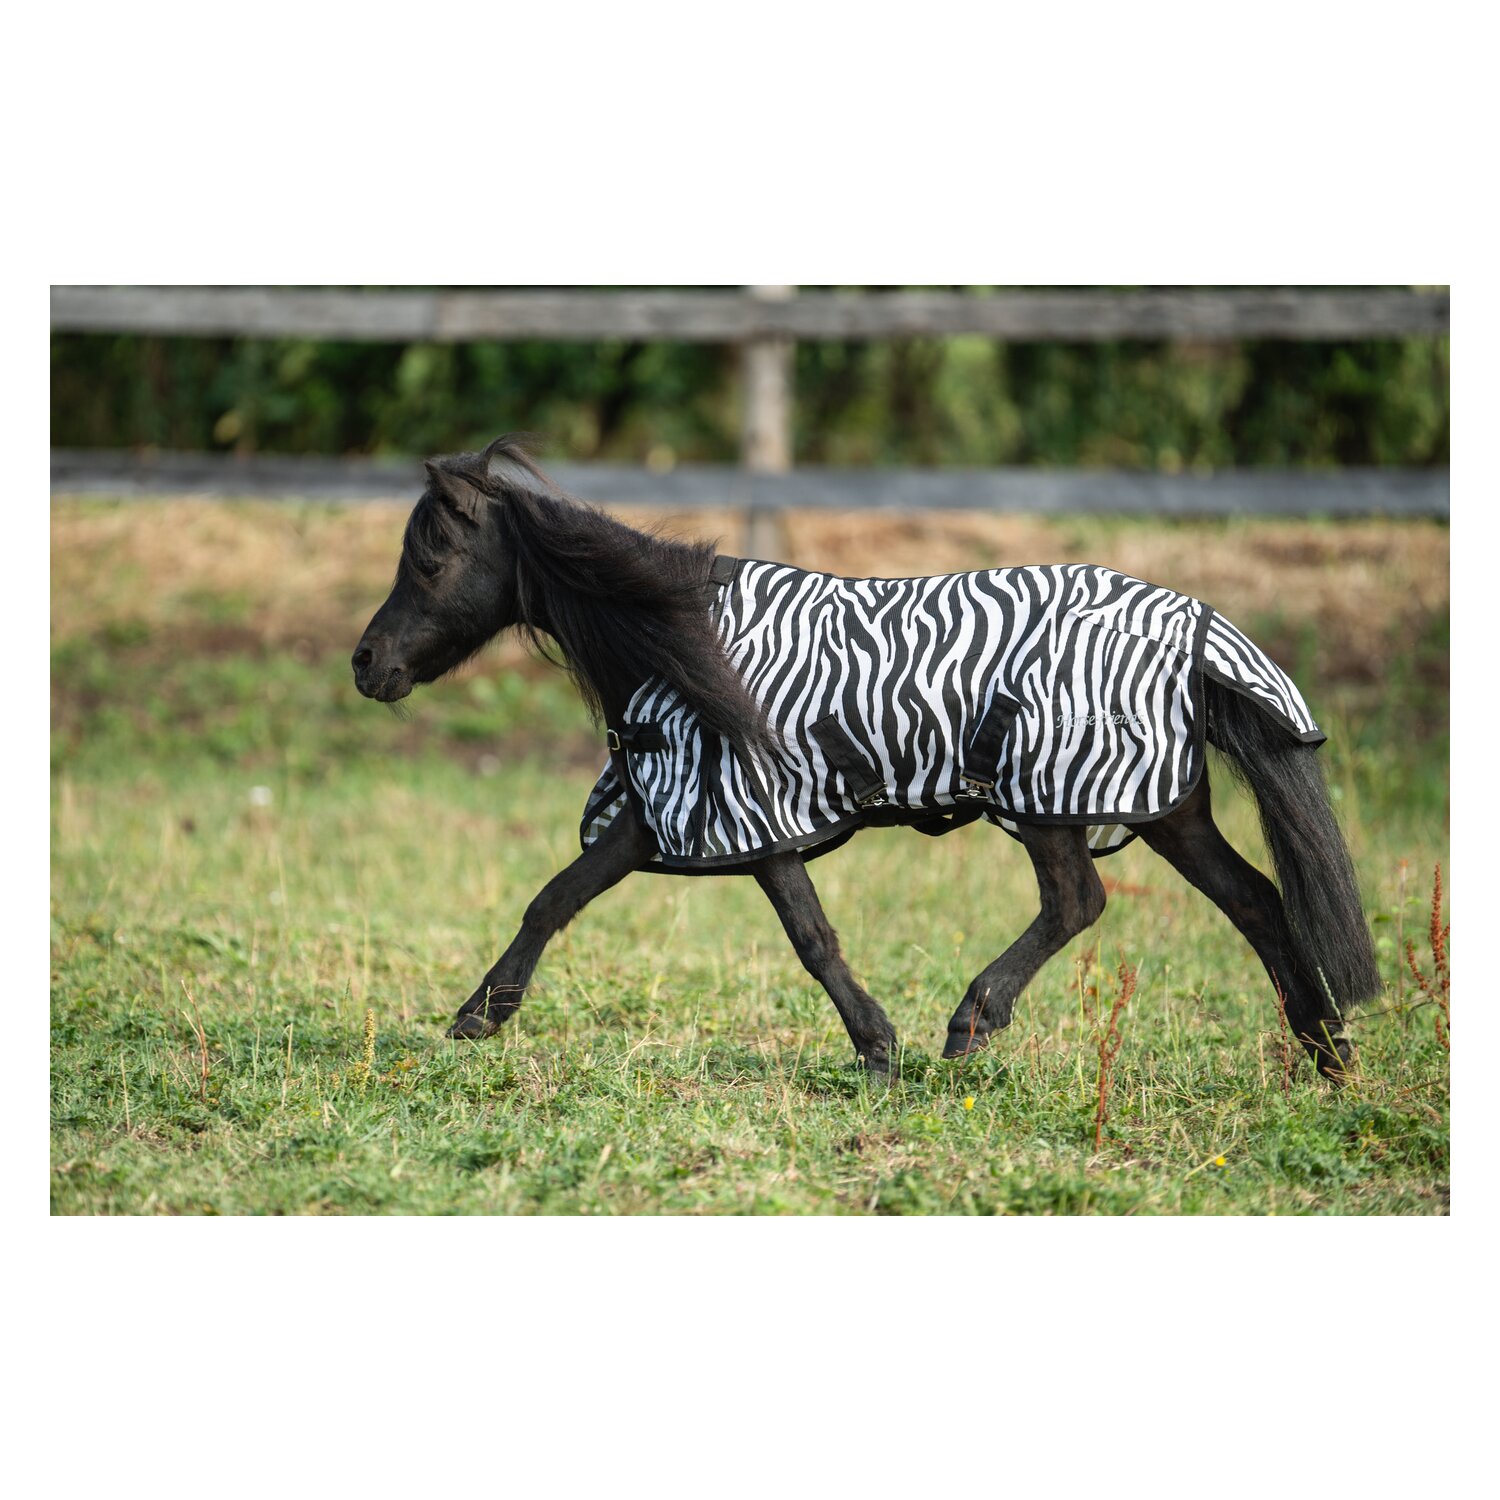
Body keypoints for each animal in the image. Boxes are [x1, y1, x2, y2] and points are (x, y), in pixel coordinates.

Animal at [352, 436, 1382, 1082]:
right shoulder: (663, 814)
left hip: (1051, 799)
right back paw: (1326, 1058)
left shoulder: (751, 813)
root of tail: (1191, 624)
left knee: (1078, 902)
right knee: (1257, 901)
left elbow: (812, 939)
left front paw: (879, 1050)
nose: (367, 664)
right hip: (1166, 808)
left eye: (431, 559)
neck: (680, 643)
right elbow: (556, 897)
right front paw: (478, 1017)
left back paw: (971, 1022)